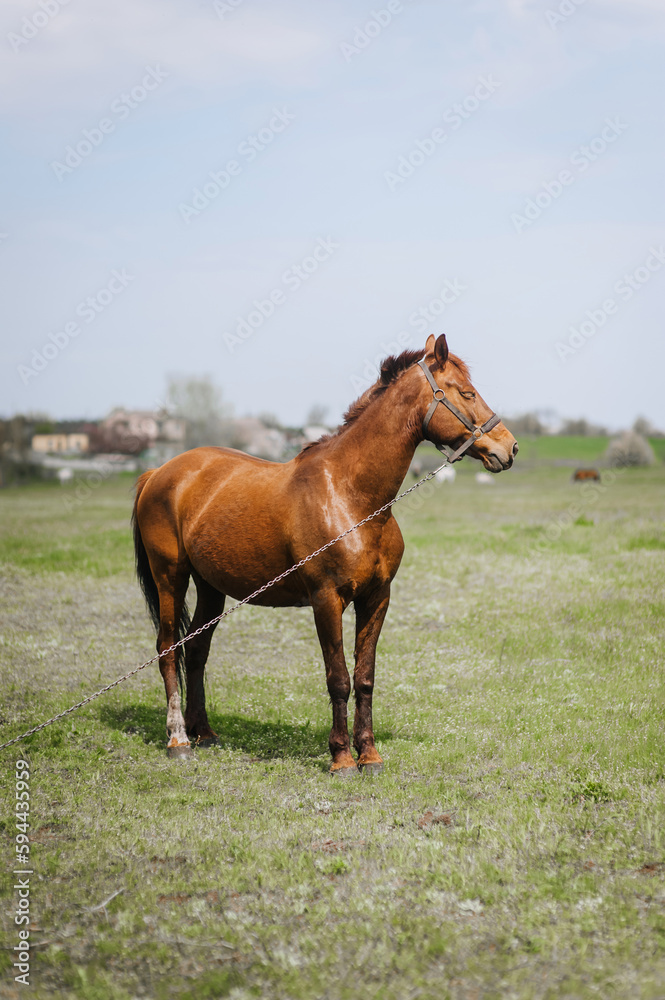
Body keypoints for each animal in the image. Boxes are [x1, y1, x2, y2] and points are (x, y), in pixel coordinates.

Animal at [132, 333, 518, 774]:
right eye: (467, 392)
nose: (509, 447)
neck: (353, 498)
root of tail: (159, 473)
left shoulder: (376, 598)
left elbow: (364, 677)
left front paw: (370, 754)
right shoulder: (326, 599)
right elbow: (339, 678)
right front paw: (342, 758)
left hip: (211, 586)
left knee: (196, 650)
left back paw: (205, 733)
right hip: (170, 577)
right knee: (167, 649)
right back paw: (178, 738)